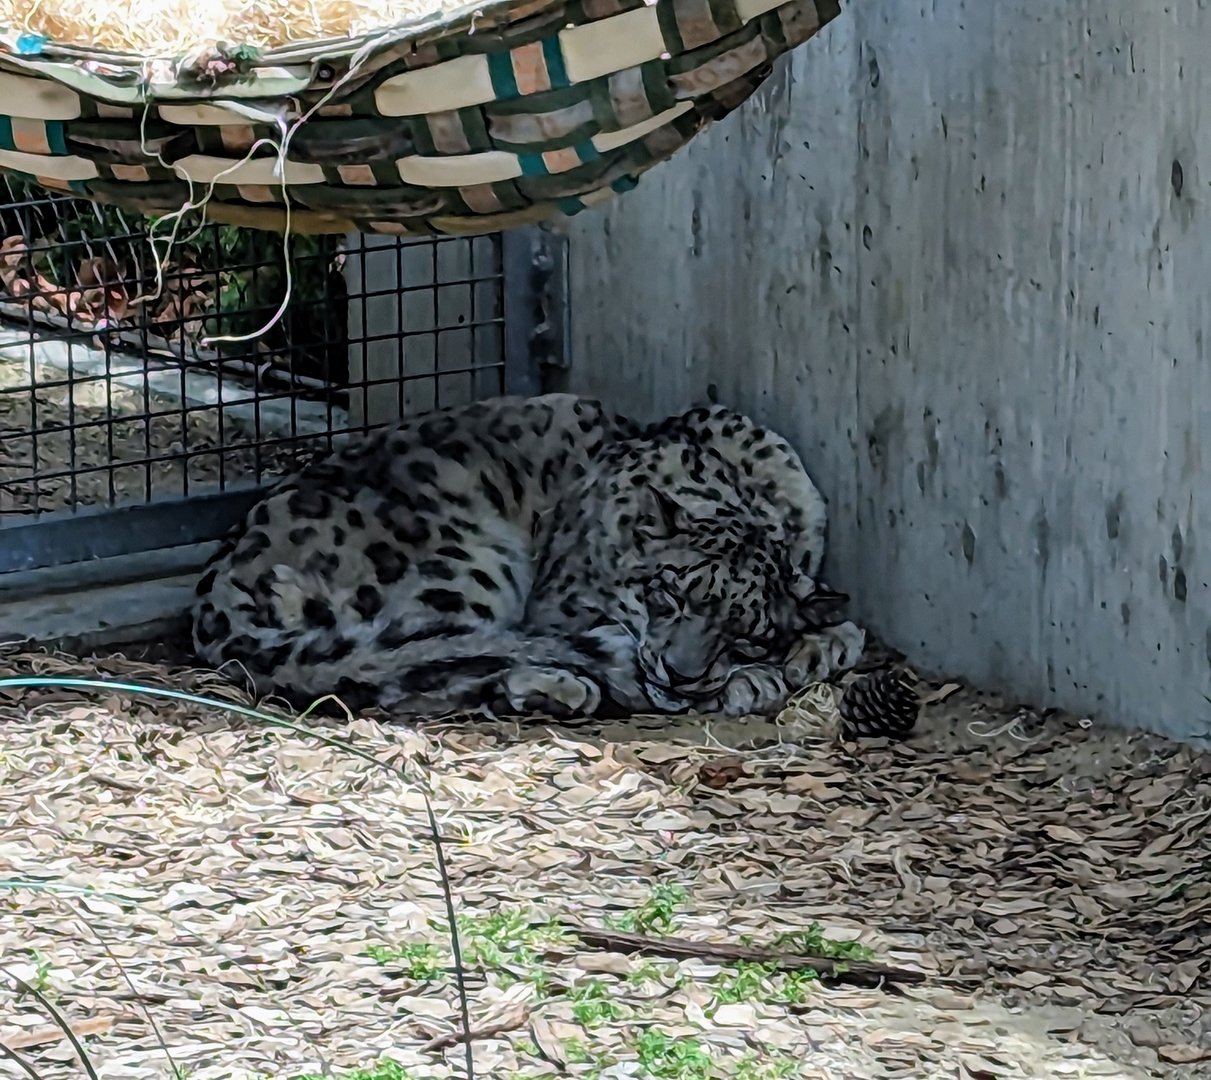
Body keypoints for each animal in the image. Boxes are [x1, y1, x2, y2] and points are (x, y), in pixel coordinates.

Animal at [190, 393, 866, 719]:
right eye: (669, 592)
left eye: (745, 632)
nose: (682, 673)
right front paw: (758, 679)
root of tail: (216, 601)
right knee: (410, 671)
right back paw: (560, 687)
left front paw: (815, 646)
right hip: (469, 565)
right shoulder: (563, 607)